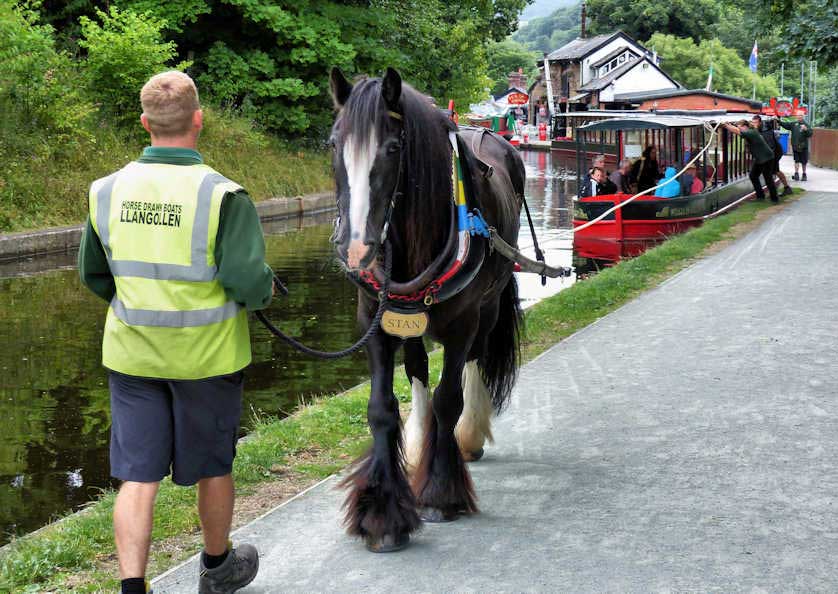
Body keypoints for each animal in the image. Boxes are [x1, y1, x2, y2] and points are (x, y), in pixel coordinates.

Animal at [329, 67, 524, 552]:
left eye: (393, 148)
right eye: (333, 143)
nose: (355, 248)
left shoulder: (461, 325)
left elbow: (448, 399)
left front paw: (440, 494)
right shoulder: (375, 323)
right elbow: (382, 409)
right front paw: (382, 515)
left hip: (487, 307)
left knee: (475, 361)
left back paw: (467, 436)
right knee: (417, 366)